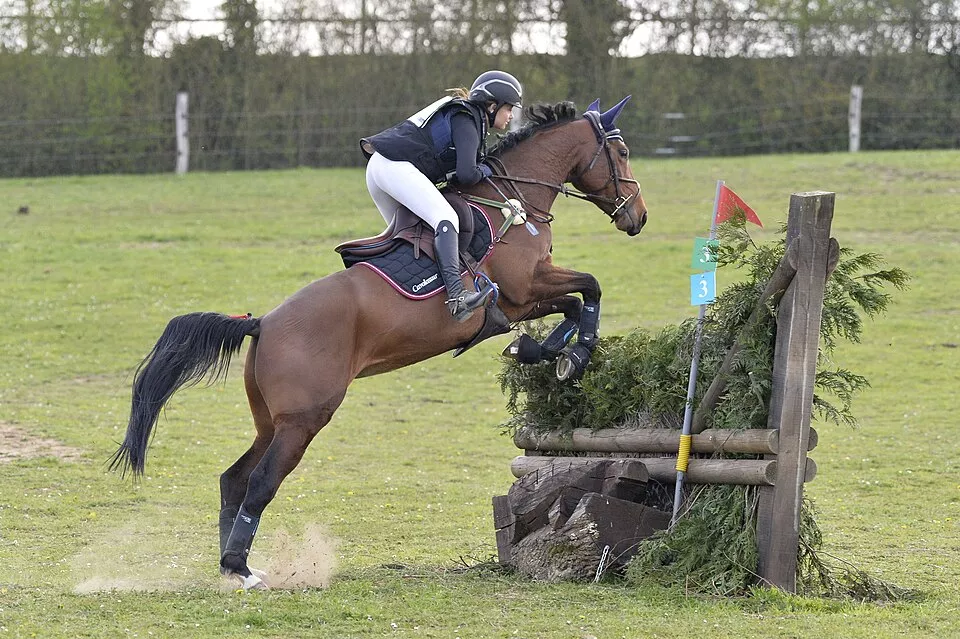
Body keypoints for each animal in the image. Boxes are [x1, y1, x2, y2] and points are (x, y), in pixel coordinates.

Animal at [110, 97, 648, 590]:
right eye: (621, 152)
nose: (638, 217)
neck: (514, 200)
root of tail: (263, 323)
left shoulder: (522, 302)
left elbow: (576, 303)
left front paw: (546, 353)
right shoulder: (524, 289)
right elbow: (591, 287)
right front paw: (573, 353)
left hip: (271, 421)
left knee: (234, 479)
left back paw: (232, 566)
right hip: (304, 420)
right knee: (261, 483)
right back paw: (242, 570)